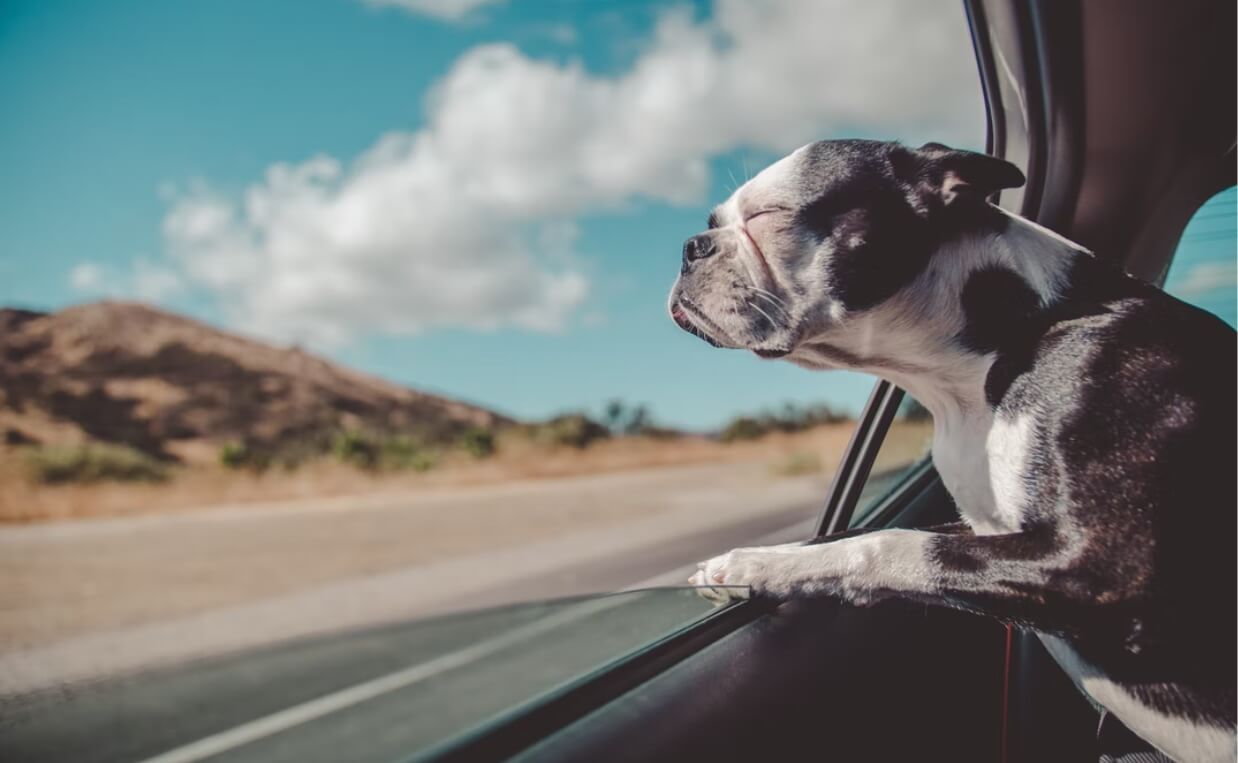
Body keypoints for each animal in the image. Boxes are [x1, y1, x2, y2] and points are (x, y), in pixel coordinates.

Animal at [673, 139, 1233, 758]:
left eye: (769, 216)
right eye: (712, 224)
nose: (690, 247)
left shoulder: (1101, 565)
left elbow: (888, 545)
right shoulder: (982, 528)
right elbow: (855, 535)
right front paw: (754, 563)